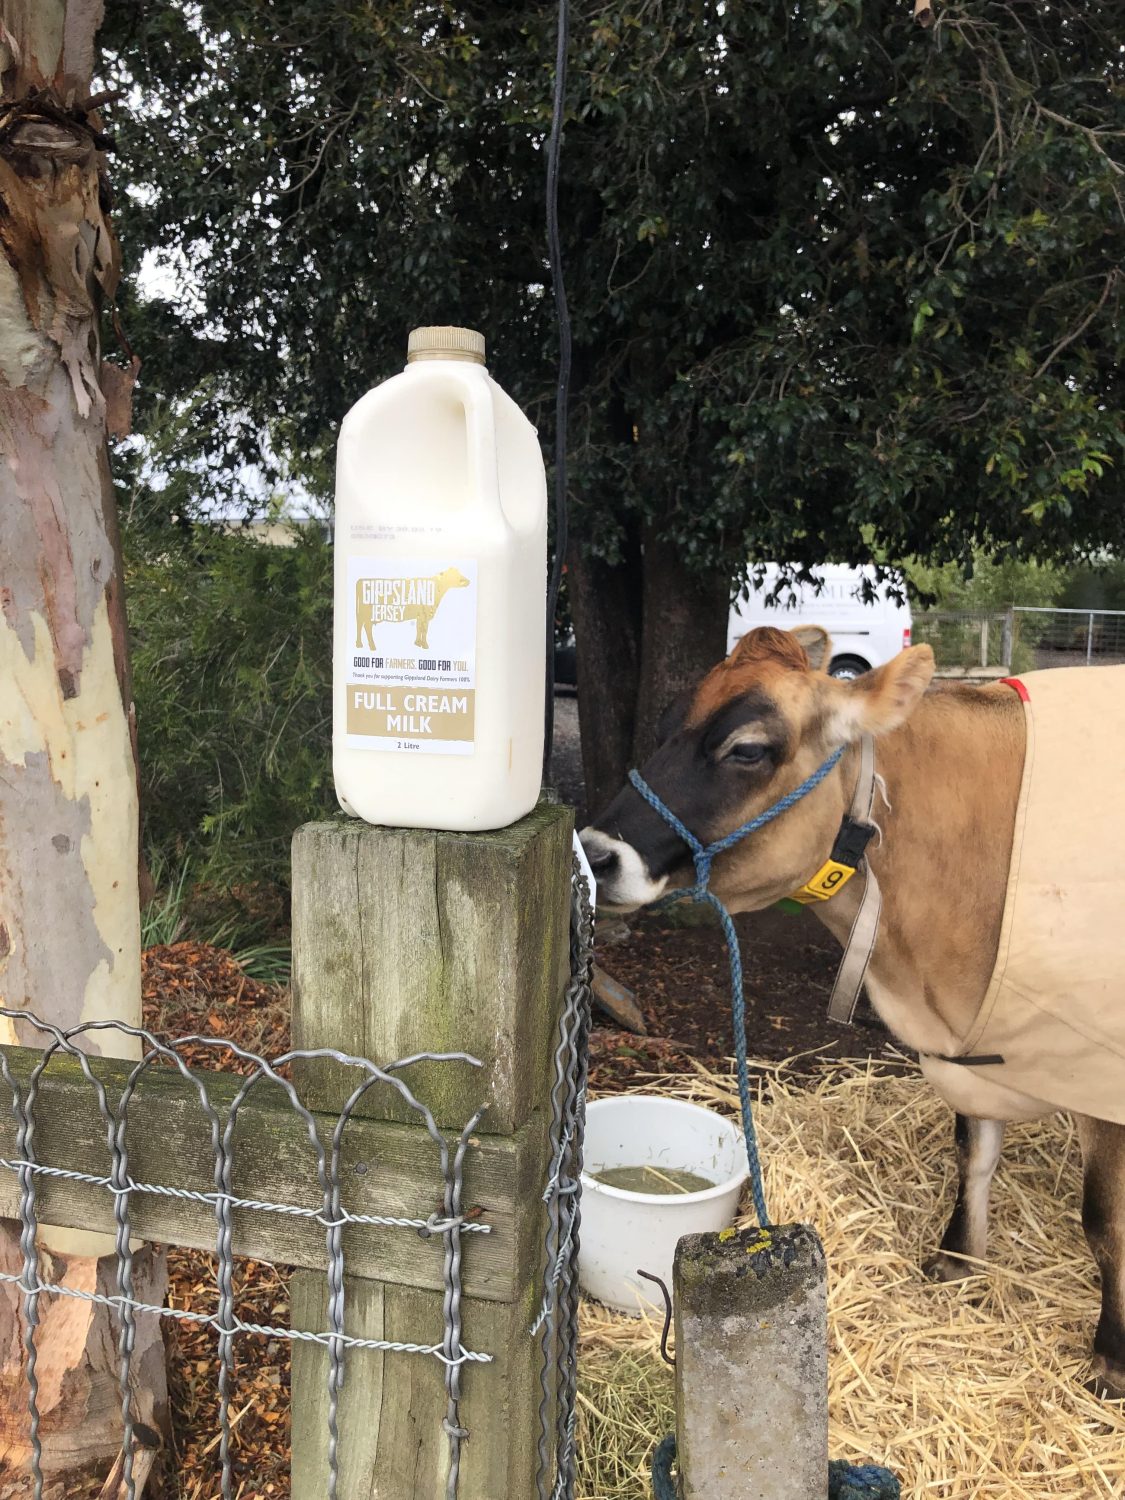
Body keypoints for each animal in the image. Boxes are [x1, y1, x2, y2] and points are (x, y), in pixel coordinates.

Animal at [580, 624, 1125, 1401]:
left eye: (747, 749)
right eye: (663, 725)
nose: (596, 855)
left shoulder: (1100, 1071)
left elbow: (1103, 1218)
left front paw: (1110, 1356)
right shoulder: (972, 1052)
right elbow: (974, 1154)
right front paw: (956, 1260)